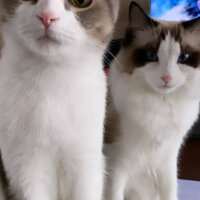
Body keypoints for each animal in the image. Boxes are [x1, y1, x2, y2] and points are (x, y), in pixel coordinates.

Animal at [104, 1, 200, 200]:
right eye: (151, 56)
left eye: (183, 58)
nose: (166, 78)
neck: (160, 102)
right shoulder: (117, 166)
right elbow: (115, 194)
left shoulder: (167, 161)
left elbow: (170, 192)